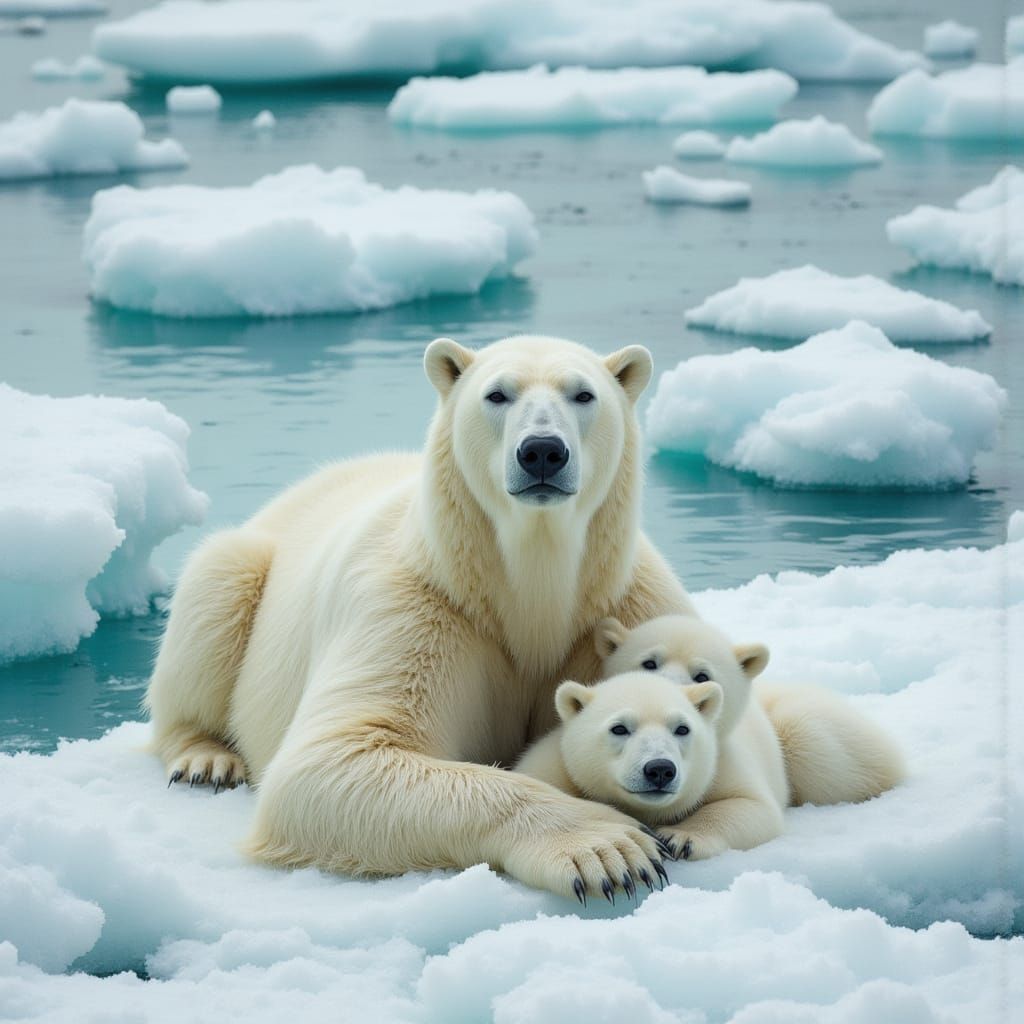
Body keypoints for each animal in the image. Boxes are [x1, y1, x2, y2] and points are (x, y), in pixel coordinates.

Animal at [145, 334, 701, 902]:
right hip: (251, 562)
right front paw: (611, 849)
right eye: (497, 394)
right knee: (217, 587)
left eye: (583, 394)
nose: (542, 450)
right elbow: (333, 760)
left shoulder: (628, 607)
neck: (528, 590)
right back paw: (206, 759)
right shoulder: (422, 609)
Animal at [591, 615, 906, 859]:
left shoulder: (724, 758)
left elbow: (753, 806)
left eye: (702, 675)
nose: (663, 696)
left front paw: (680, 837)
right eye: (649, 663)